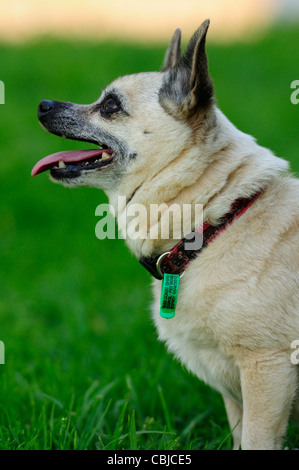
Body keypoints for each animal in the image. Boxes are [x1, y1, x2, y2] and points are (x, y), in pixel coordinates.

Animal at [31, 20, 298, 450]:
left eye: (109, 106)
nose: (42, 105)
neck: (217, 221)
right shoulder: (236, 393)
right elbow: (241, 438)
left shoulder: (266, 371)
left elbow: (257, 440)